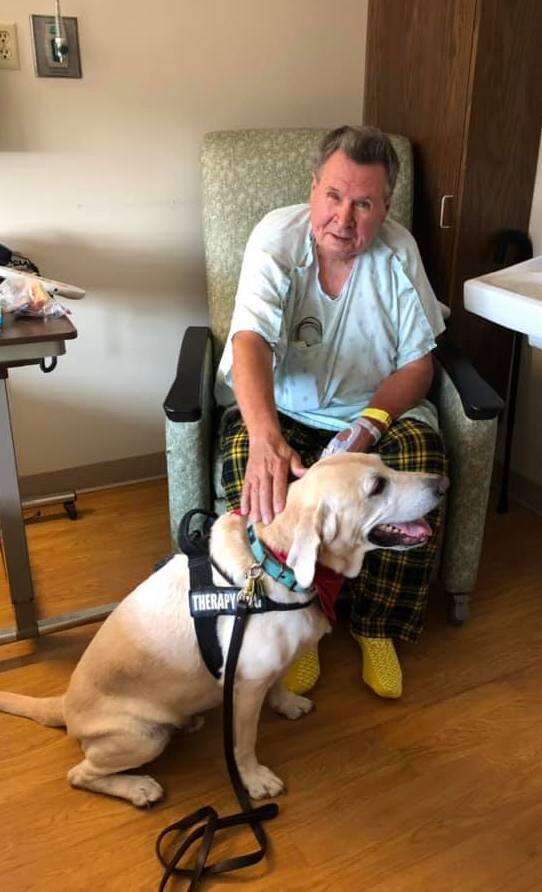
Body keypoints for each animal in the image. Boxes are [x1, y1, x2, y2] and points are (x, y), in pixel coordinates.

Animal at [0, 452, 448, 808]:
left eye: (384, 463)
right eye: (377, 486)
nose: (442, 483)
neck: (274, 563)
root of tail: (64, 704)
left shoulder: (271, 667)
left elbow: (280, 682)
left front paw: (287, 703)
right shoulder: (245, 688)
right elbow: (244, 744)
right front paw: (254, 780)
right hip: (142, 737)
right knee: (80, 774)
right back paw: (139, 787)